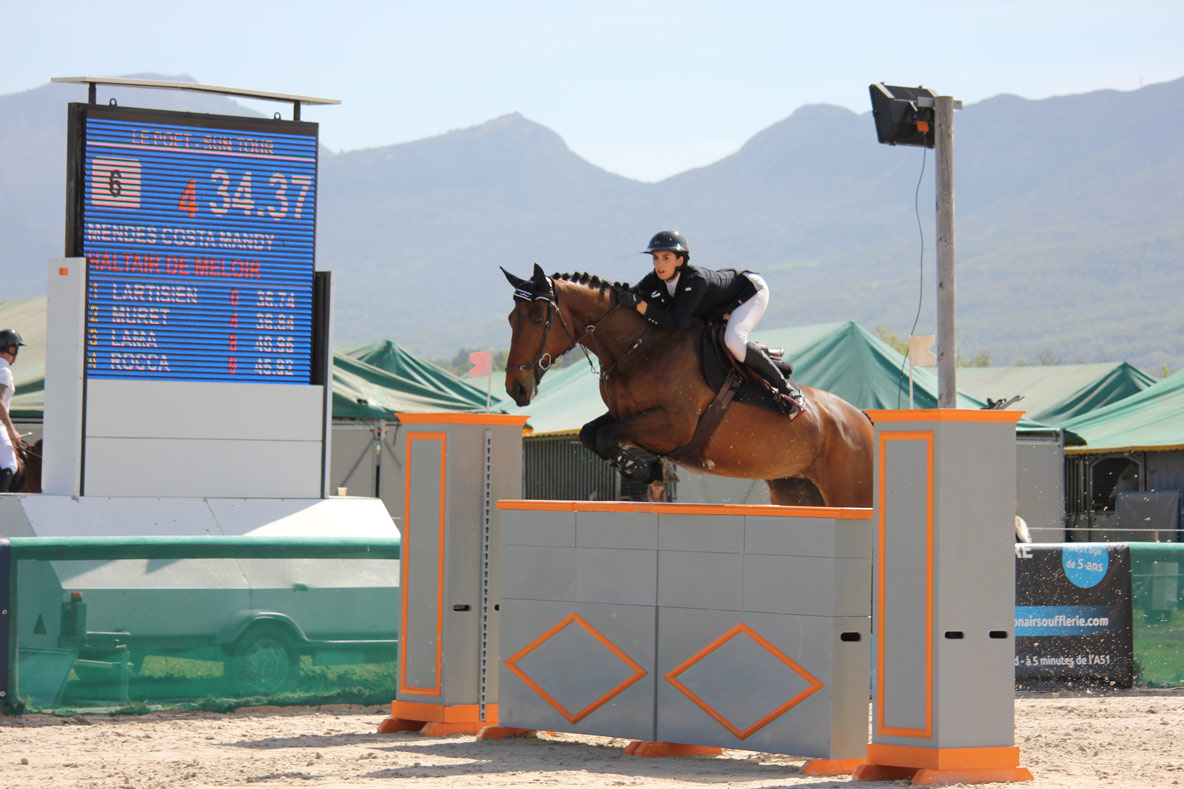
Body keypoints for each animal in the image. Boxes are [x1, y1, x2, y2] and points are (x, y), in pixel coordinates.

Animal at [504, 264, 876, 507]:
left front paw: (649, 469)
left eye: (537, 319)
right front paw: (649, 468)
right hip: (797, 491)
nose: (515, 389)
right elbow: (590, 434)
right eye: (511, 319)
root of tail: (862, 420)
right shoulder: (626, 416)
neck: (636, 347)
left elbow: (606, 436)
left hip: (851, 493)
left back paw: (791, 397)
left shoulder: (673, 426)